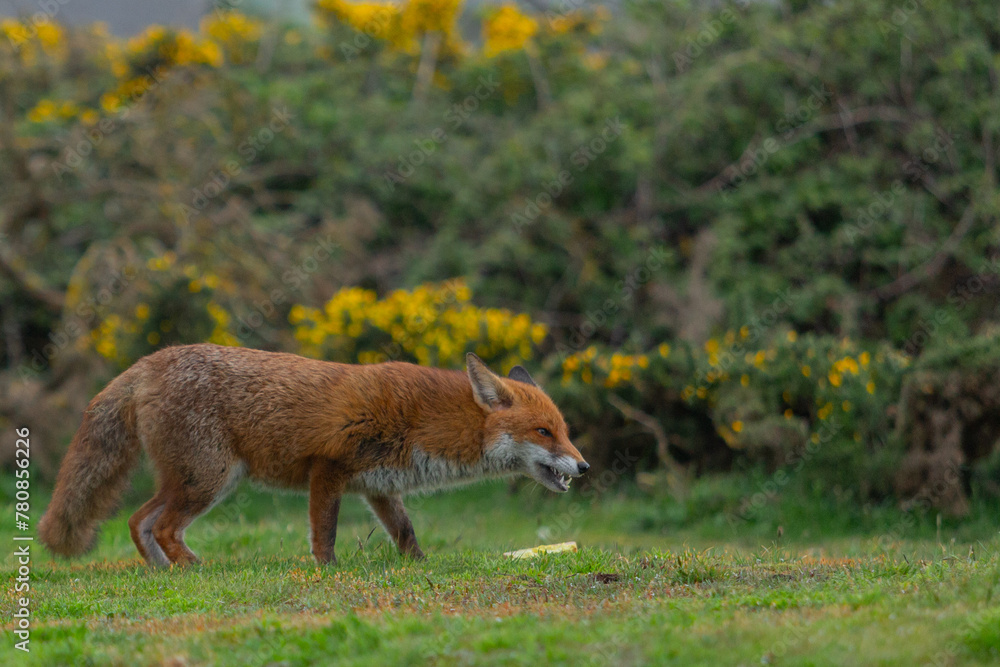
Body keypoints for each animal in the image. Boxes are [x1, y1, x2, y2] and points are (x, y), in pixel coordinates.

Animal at [38, 344, 589, 567]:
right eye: (544, 432)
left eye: (564, 432)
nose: (584, 466)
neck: (426, 421)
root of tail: (148, 362)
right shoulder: (329, 468)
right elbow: (324, 532)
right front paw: (329, 570)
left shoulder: (380, 487)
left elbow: (406, 532)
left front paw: (420, 565)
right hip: (210, 479)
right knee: (165, 526)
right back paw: (192, 566)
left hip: (195, 480)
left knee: (138, 521)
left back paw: (161, 570)